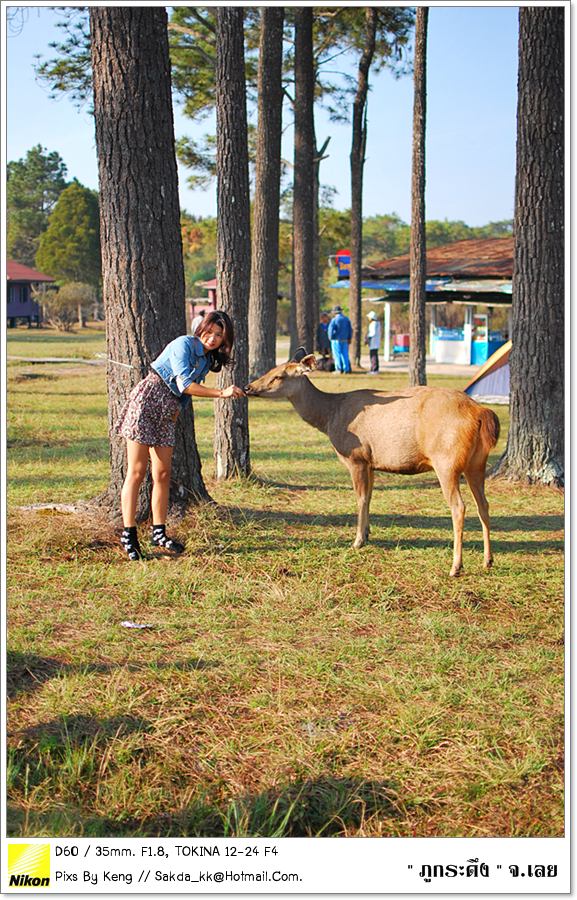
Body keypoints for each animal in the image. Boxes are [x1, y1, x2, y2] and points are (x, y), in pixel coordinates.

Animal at [243, 350, 500, 576]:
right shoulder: (372, 462)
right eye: (271, 370)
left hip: (446, 460)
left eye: (279, 376)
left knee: (459, 507)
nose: (248, 387)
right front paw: (367, 534)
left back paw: (456, 566)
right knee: (484, 505)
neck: (329, 417)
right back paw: (487, 560)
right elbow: (370, 497)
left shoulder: (356, 457)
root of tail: (481, 412)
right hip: (476, 463)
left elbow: (360, 498)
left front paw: (357, 540)